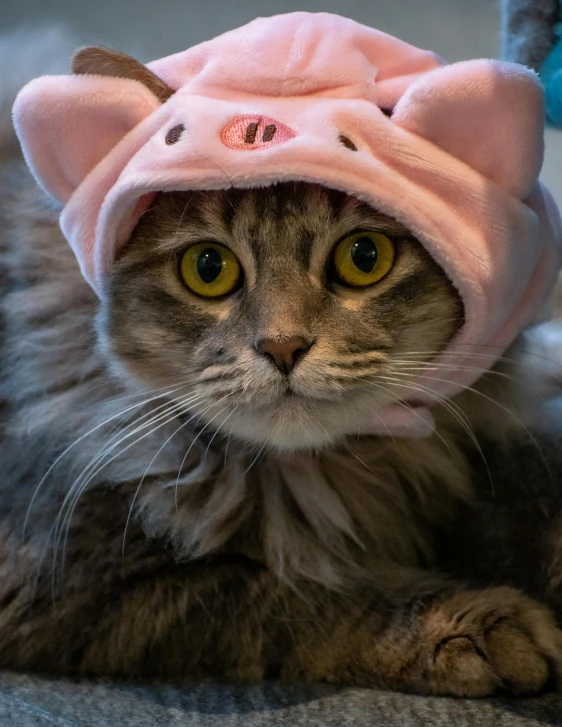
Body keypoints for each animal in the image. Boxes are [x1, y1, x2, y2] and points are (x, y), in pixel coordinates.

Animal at [2, 27, 560, 700]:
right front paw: (480, 625)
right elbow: (303, 593)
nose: (283, 347)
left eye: (364, 256)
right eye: (207, 268)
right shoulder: (75, 581)